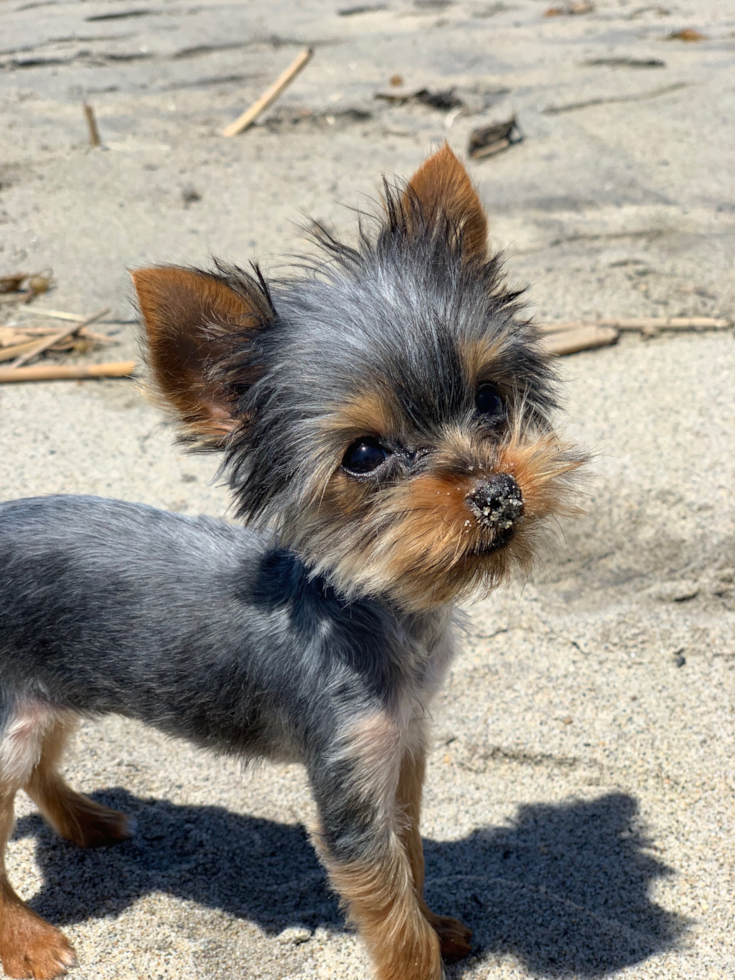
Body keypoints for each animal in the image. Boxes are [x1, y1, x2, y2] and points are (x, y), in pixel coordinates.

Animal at [0, 147, 588, 980]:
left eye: (489, 401)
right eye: (364, 455)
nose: (499, 492)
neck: (371, 608)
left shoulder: (399, 748)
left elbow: (408, 855)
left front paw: (435, 922)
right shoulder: (347, 770)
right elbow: (390, 910)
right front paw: (420, 956)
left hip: (48, 692)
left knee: (40, 763)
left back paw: (85, 821)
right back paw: (28, 939)